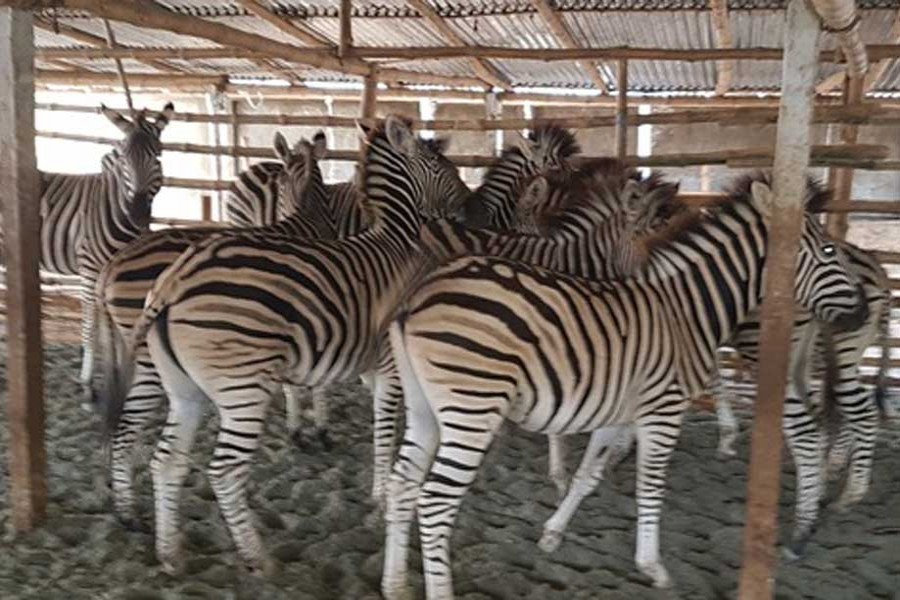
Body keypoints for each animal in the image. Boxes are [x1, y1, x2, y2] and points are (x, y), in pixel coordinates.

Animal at [0, 103, 173, 403]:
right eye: (124, 158)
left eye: (158, 154)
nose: (138, 212)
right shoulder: (91, 268)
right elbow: (91, 322)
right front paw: (88, 382)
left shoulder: (114, 270)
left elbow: (111, 324)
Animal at [101, 116, 469, 575]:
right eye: (439, 163)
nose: (471, 206)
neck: (395, 242)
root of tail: (174, 278)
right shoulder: (387, 366)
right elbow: (386, 430)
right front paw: (381, 494)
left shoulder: (359, 361)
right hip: (239, 387)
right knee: (221, 470)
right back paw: (256, 558)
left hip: (181, 386)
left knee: (164, 458)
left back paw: (166, 550)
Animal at [381, 175, 868, 597]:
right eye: (829, 250)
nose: (861, 312)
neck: (687, 311)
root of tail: (417, 296)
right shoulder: (663, 412)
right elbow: (650, 486)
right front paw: (653, 567)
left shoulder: (617, 413)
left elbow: (588, 475)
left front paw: (553, 533)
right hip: (473, 408)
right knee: (434, 502)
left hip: (426, 409)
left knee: (402, 486)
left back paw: (395, 584)